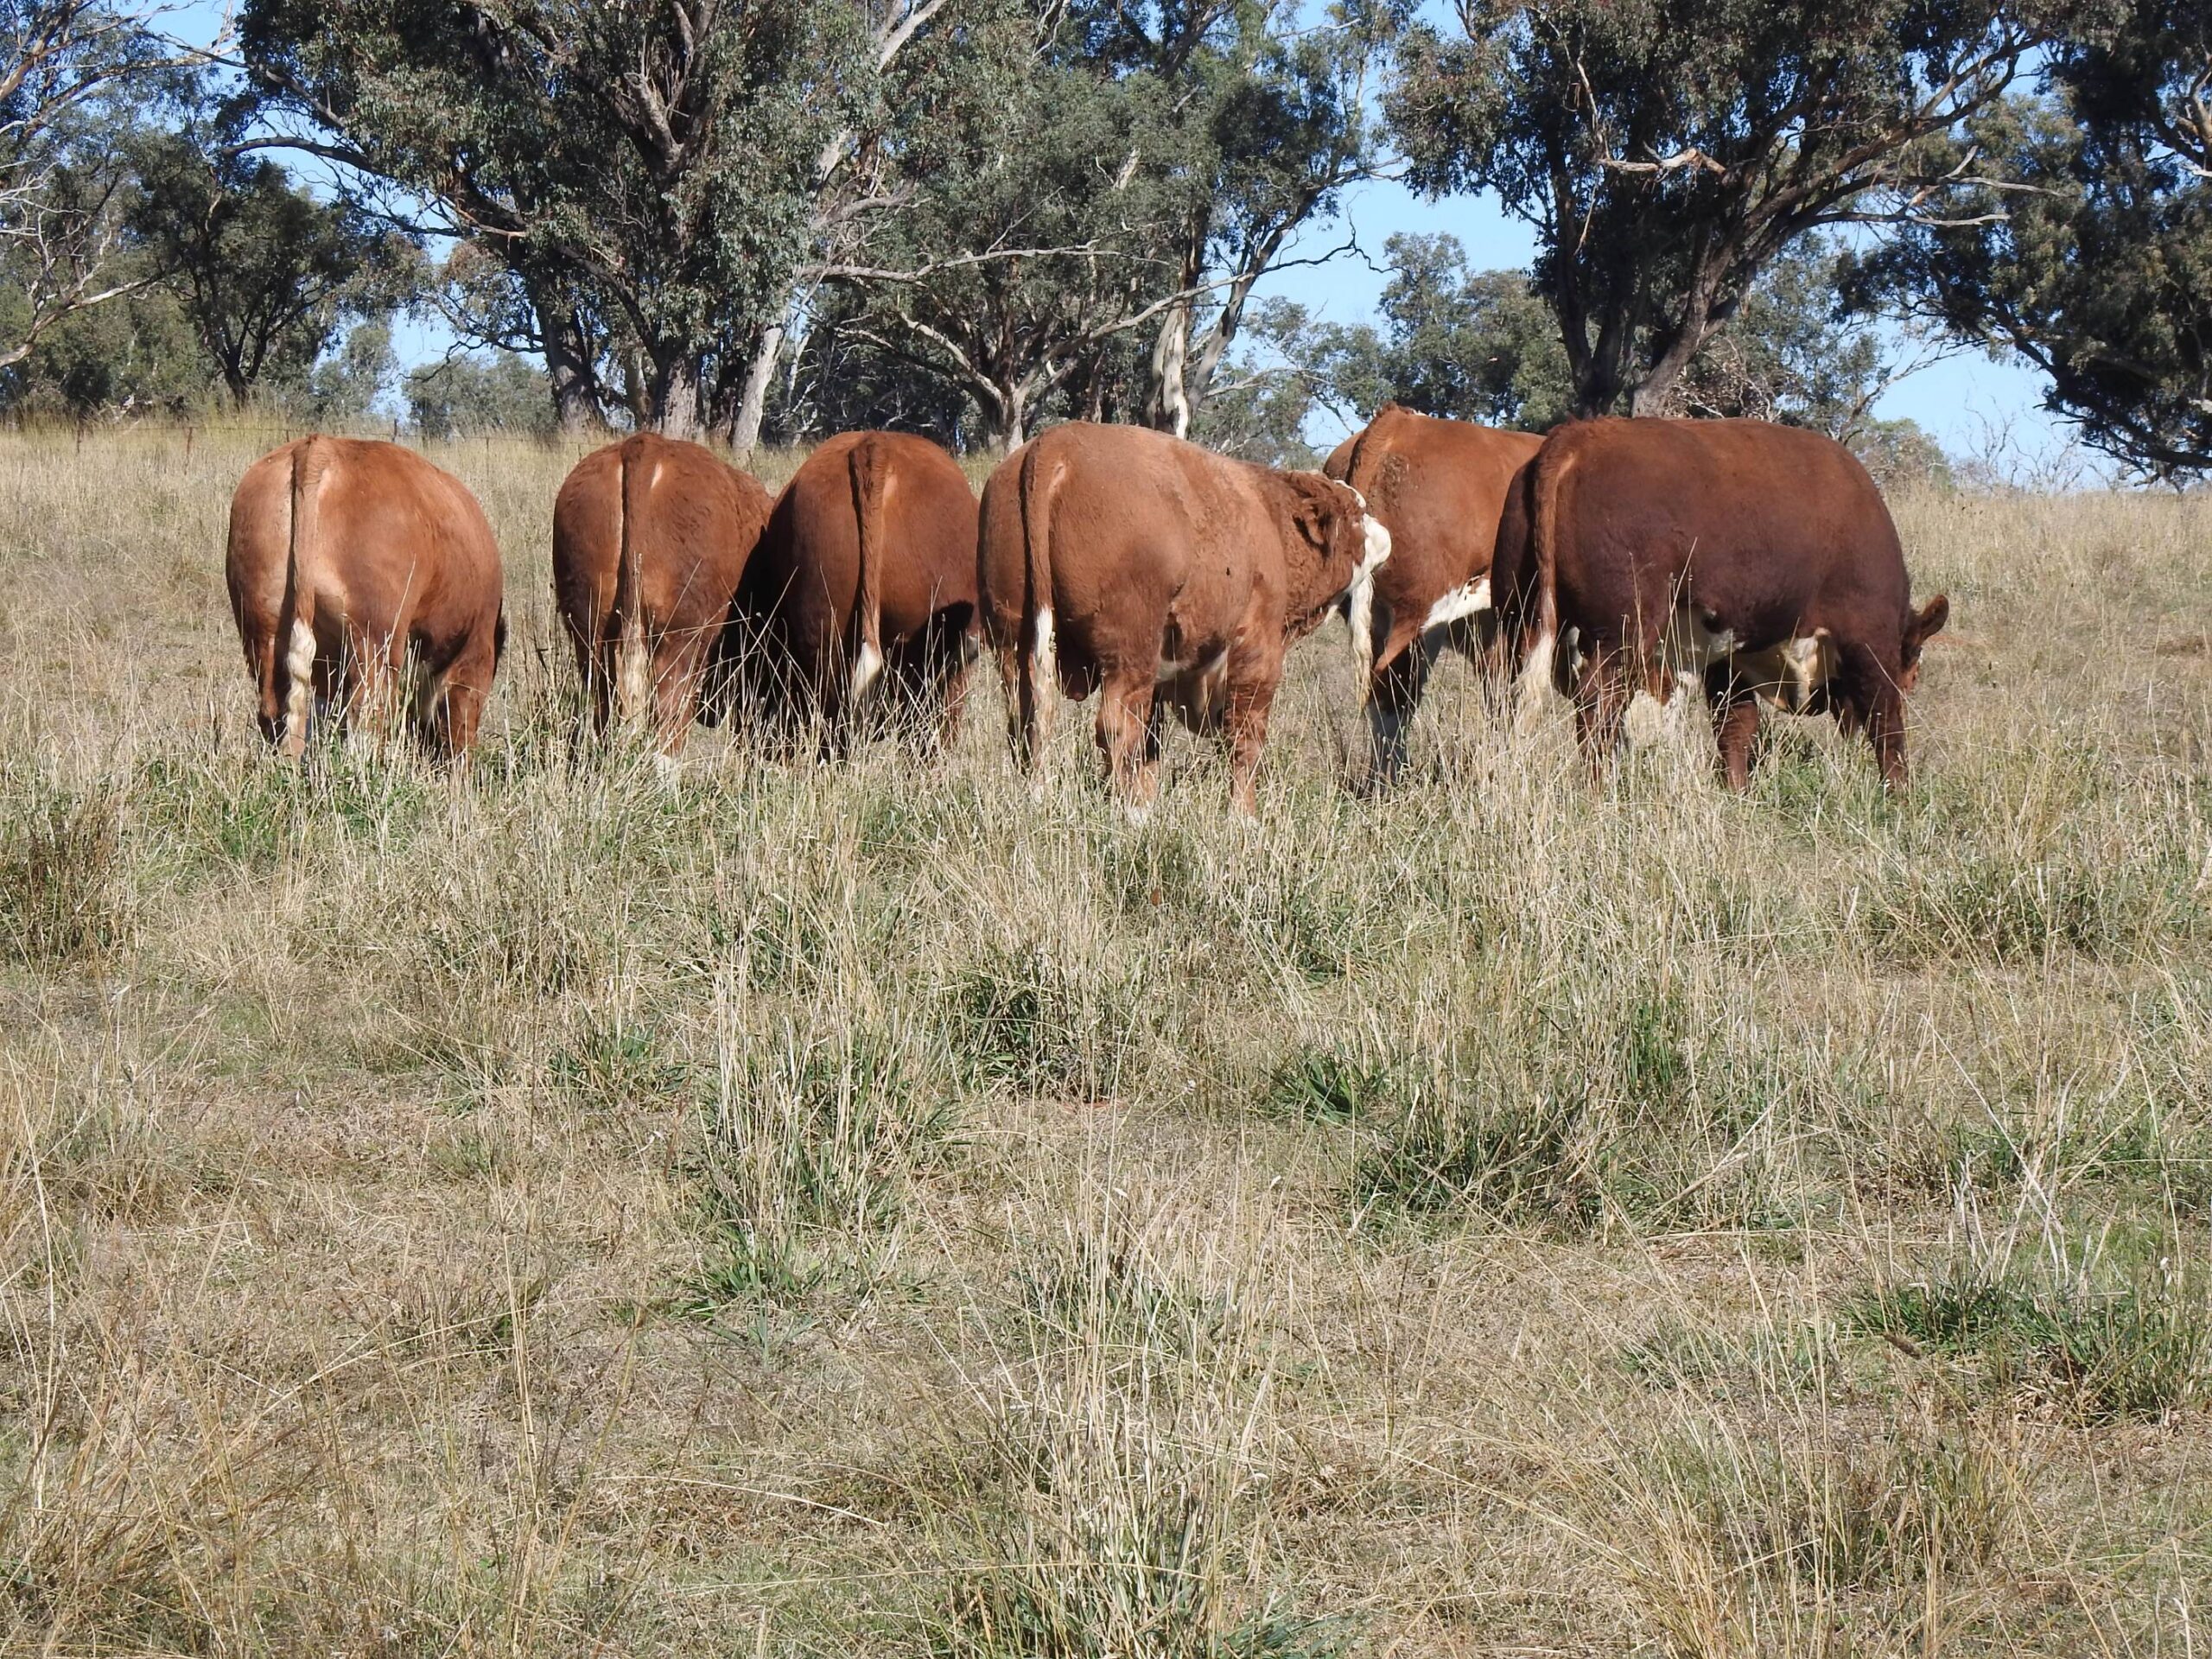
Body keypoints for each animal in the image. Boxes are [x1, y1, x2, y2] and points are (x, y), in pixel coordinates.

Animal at [226, 435, 505, 758]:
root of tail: (319, 445)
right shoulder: (475, 651)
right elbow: (459, 722)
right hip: (374, 639)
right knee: (369, 715)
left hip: (262, 630)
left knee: (275, 711)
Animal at [977, 422, 1391, 815]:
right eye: (1356, 515)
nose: (1386, 534)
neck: (1271, 521)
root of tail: (1056, 442)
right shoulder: (1258, 647)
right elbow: (1245, 737)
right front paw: (1244, 818)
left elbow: (1153, 742)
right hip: (1130, 651)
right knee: (1116, 726)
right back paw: (1130, 814)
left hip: (1014, 643)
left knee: (1025, 724)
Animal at [1489, 417, 1949, 787]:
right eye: (1913, 663)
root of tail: (1575, 437)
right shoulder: (1869, 636)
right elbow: (1886, 722)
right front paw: (1899, 793)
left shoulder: (1727, 660)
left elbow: (1735, 728)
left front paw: (1736, 791)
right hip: (1623, 633)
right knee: (1597, 704)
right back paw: (1598, 790)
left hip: (1517, 618)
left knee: (1504, 692)